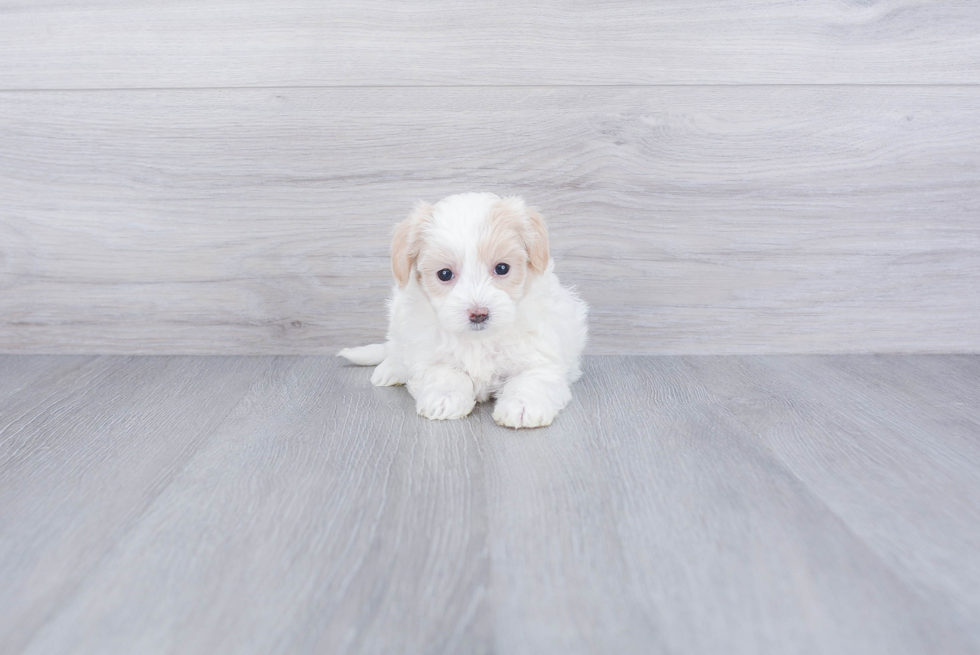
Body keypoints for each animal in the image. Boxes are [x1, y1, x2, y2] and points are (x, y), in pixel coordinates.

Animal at [340, 193, 584, 430]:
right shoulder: (429, 355)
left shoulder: (540, 356)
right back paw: (390, 369)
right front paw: (445, 397)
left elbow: (531, 378)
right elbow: (446, 373)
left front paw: (523, 406)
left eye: (502, 268)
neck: (479, 340)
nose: (478, 313)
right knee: (395, 348)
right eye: (445, 274)